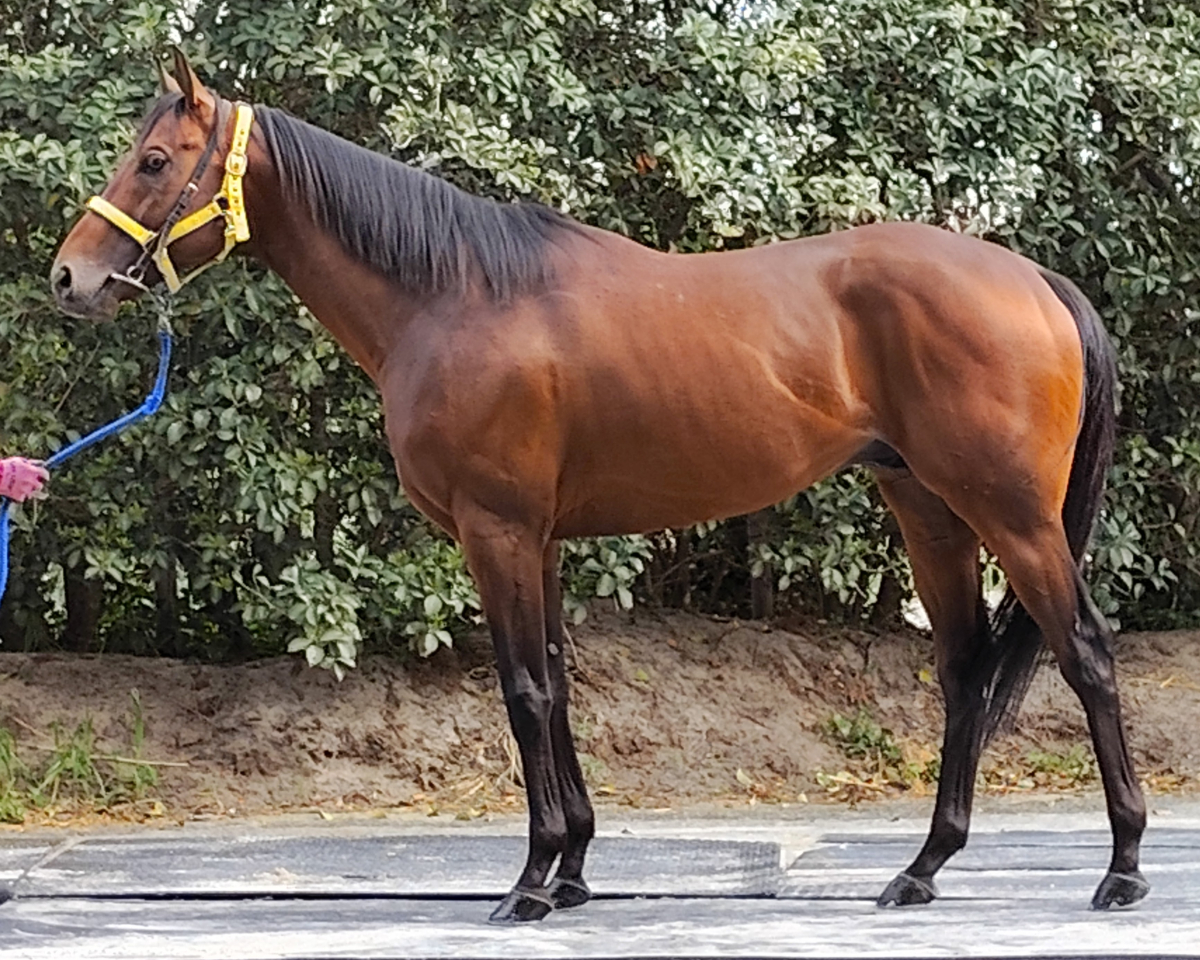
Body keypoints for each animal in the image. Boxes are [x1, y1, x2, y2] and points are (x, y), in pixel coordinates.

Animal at [50, 49, 1147, 922]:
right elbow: (559, 683)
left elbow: (524, 691)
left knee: (1086, 653)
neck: (454, 294)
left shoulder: (494, 530)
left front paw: (532, 882)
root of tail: (1037, 281)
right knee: (964, 672)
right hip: (930, 513)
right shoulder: (536, 537)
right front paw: (574, 866)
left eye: (154, 161)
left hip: (1014, 515)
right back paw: (921, 869)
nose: (69, 279)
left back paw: (1123, 868)